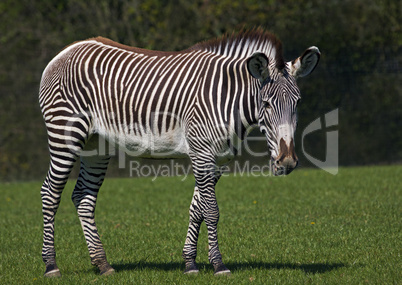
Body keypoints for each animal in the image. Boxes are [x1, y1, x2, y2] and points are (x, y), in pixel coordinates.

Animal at [38, 28, 320, 276]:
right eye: (266, 104)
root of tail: (64, 52)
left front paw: (190, 264)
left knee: (83, 197)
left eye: (297, 103)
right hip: (65, 134)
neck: (228, 99)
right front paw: (218, 265)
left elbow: (197, 209)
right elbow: (212, 211)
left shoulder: (217, 160)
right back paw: (51, 265)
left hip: (96, 145)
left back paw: (102, 264)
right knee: (50, 193)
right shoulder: (202, 153)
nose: (287, 162)